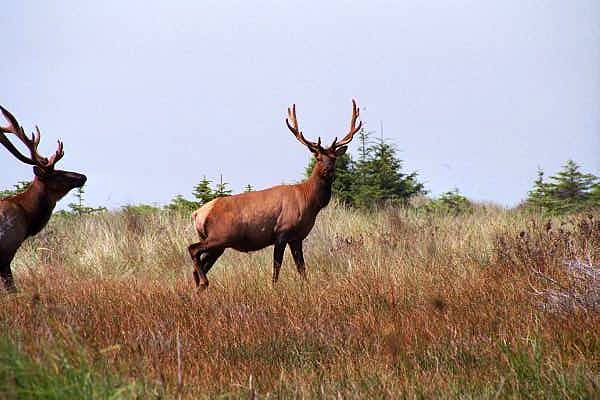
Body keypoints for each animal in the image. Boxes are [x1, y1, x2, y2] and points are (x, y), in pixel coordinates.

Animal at [188, 99, 364, 290]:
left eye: (334, 158)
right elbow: (276, 268)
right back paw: (203, 282)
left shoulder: (297, 237)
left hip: (218, 243)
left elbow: (302, 269)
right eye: (317, 157)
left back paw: (199, 286)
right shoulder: (282, 231)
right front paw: (273, 288)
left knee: (199, 264)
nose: (328, 170)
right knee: (193, 249)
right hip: (220, 236)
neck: (309, 201)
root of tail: (198, 213)